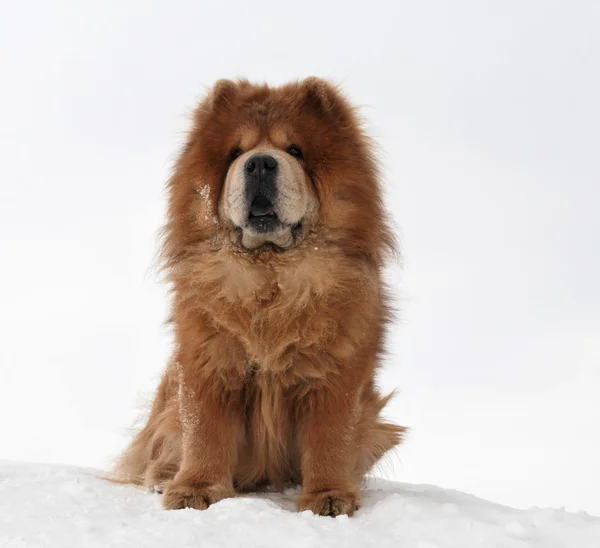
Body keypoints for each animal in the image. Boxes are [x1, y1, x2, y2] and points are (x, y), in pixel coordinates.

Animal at [115, 78, 406, 520]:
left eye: (295, 151)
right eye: (236, 152)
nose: (260, 163)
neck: (270, 278)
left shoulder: (335, 377)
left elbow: (331, 441)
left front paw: (329, 497)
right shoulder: (208, 366)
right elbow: (205, 432)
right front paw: (195, 490)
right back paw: (164, 477)